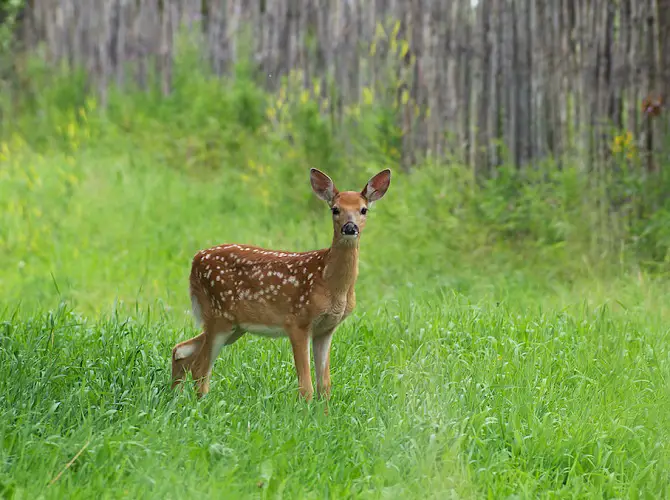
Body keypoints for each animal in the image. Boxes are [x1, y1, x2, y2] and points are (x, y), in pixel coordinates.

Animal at [172, 168, 394, 402]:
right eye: (335, 209)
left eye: (363, 210)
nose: (350, 227)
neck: (330, 283)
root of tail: (195, 260)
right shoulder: (297, 322)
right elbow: (306, 386)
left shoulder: (326, 329)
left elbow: (325, 385)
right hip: (218, 316)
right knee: (200, 368)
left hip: (234, 326)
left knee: (181, 350)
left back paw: (176, 396)